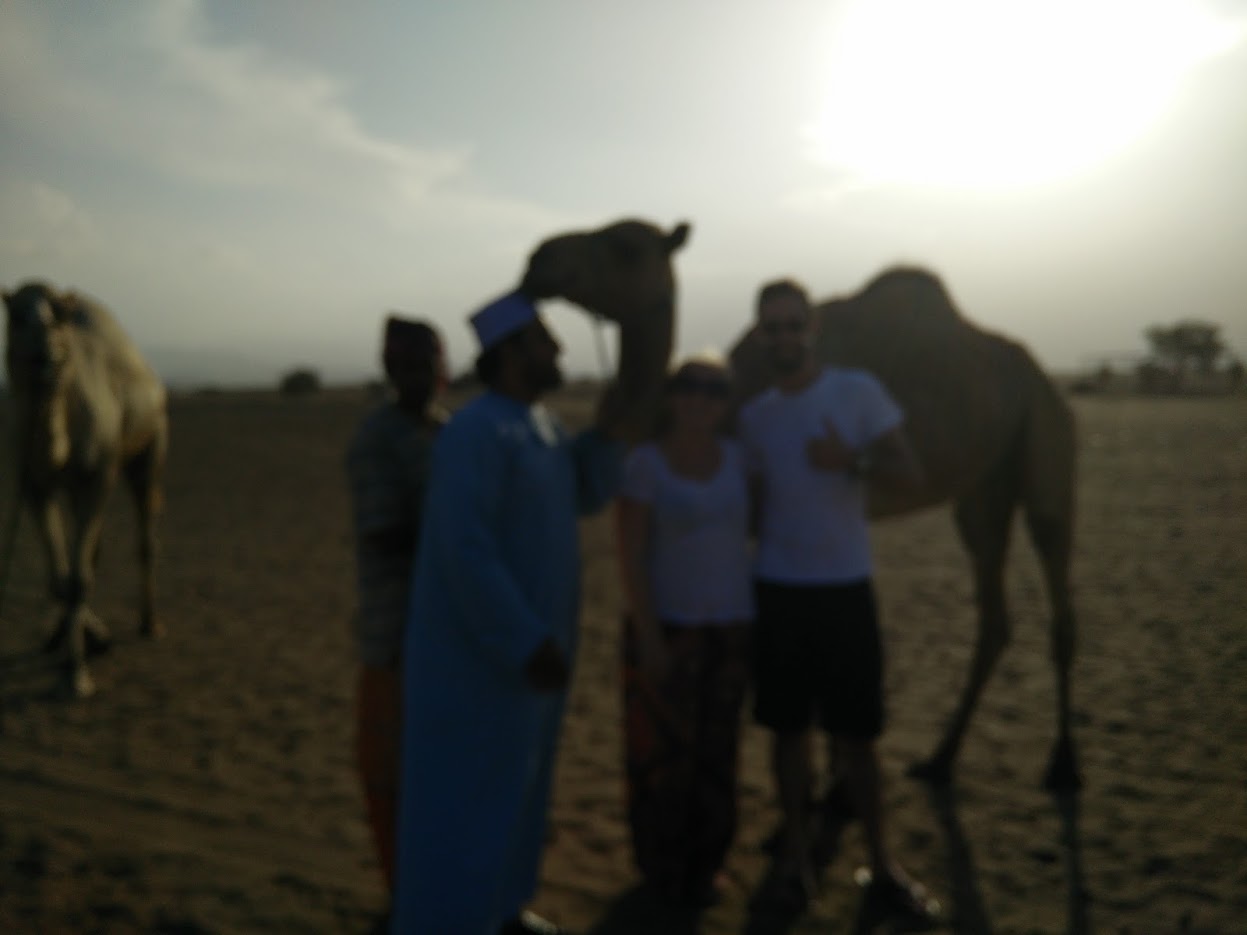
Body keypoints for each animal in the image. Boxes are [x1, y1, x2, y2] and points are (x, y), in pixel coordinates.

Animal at [3, 281, 168, 698]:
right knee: (92, 552)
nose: (44, 353)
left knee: (144, 535)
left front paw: (75, 675)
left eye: (59, 315)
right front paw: (78, 641)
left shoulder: (95, 477)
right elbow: (61, 578)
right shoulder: (35, 484)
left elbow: (78, 578)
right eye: (16, 316)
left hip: (150, 443)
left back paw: (150, 624)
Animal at [730, 267, 1079, 791]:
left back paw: (1063, 766)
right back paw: (940, 759)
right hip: (984, 487)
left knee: (1053, 556)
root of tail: (1046, 379)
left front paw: (836, 781)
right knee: (993, 604)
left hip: (1047, 435)